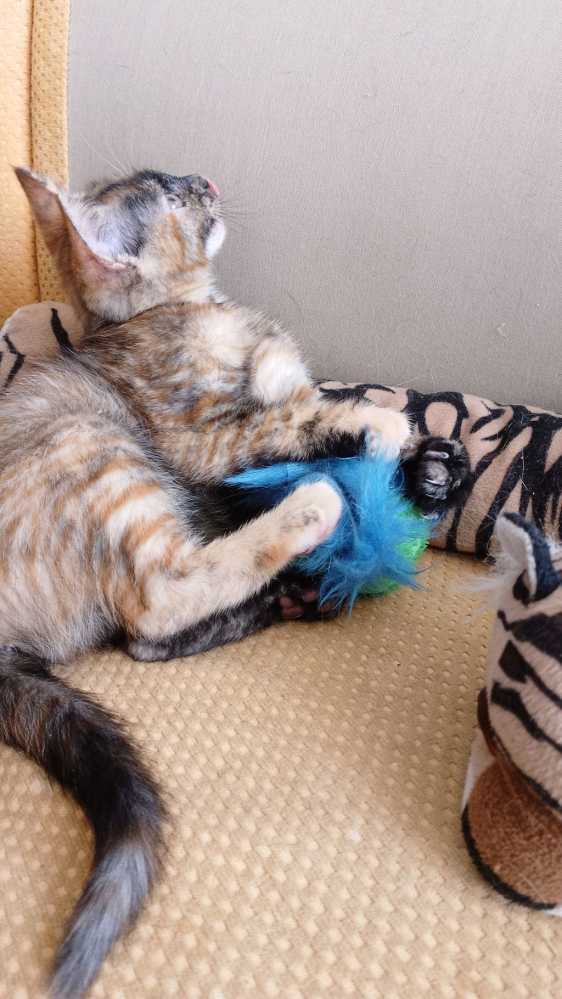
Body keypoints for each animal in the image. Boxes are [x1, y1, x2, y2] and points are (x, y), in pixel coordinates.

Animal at [3, 166, 469, 997]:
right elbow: (298, 417)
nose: (203, 179)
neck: (193, 309)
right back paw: (310, 511)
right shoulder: (202, 437)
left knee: (148, 639)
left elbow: (310, 401)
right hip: (97, 444)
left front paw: (432, 466)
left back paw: (292, 594)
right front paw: (385, 430)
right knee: (155, 606)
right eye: (169, 193)